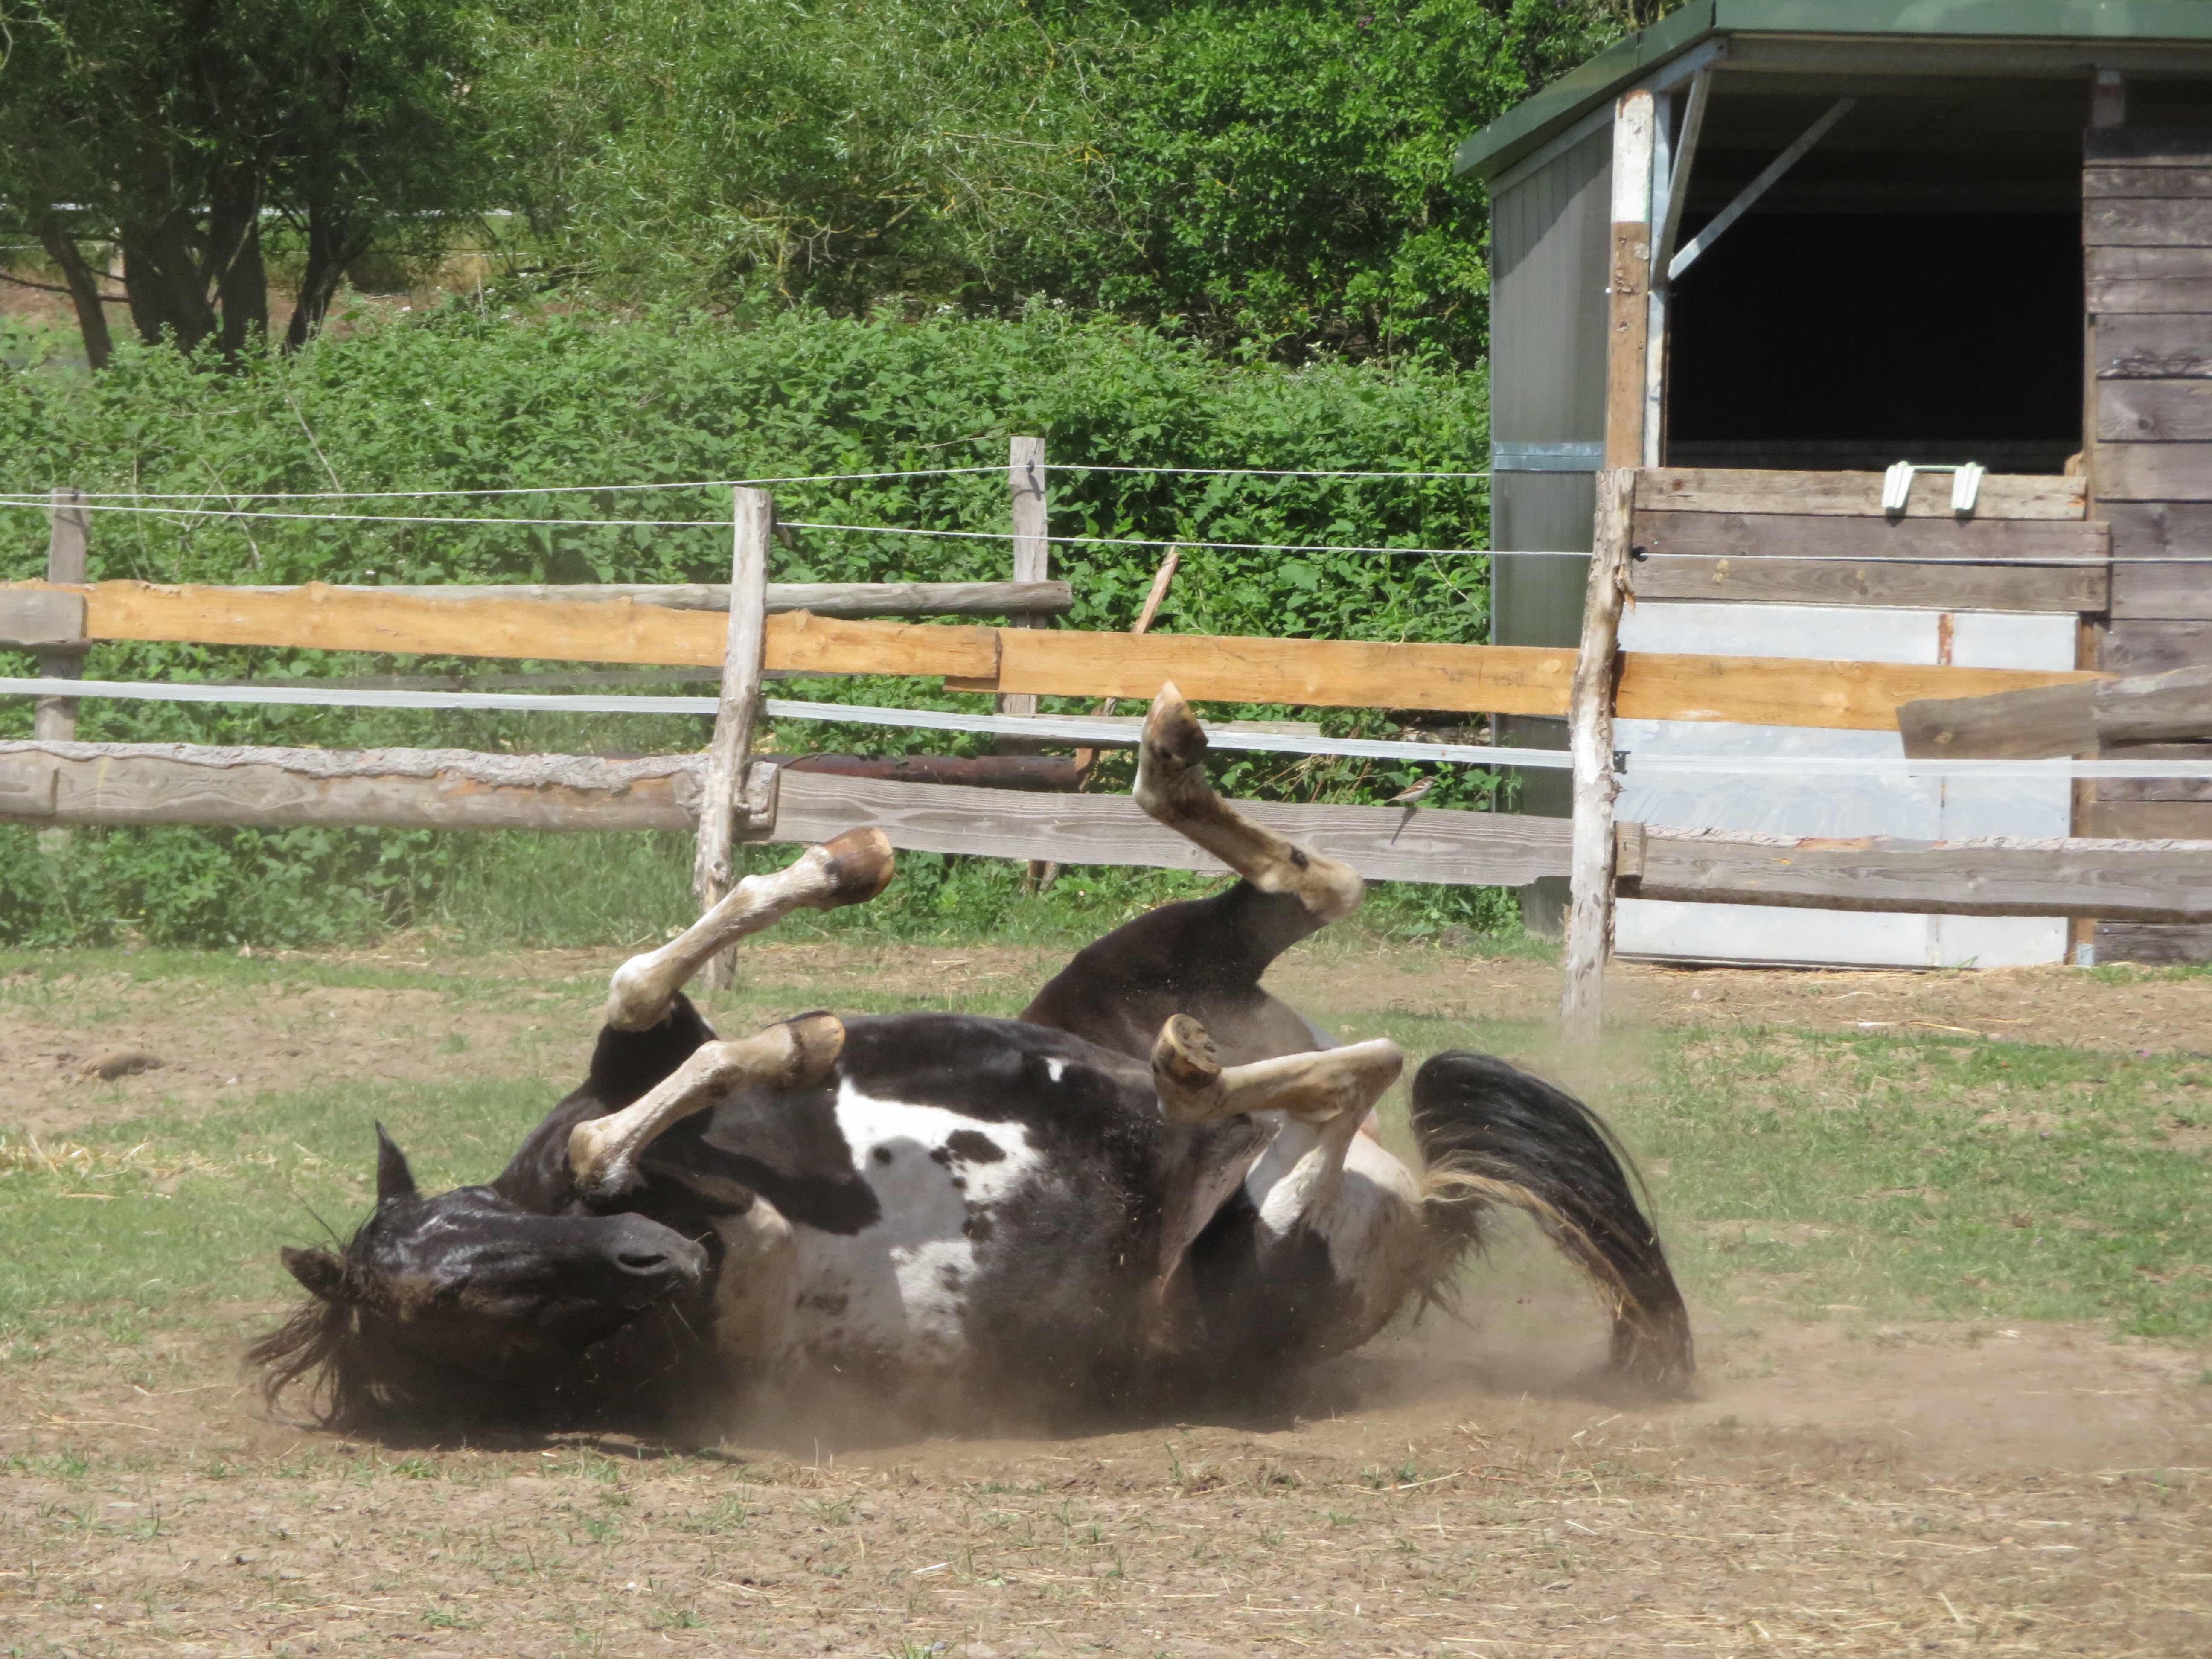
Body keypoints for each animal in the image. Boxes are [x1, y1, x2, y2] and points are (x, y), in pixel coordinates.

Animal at [254, 681, 1690, 1433]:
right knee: (1339, 1077)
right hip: (1242, 1251)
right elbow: (642, 1115)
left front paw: (833, 893)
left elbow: (647, 992)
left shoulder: (641, 1056)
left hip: (1137, 975)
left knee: (1317, 901)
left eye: (470, 1233)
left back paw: (1168, 774)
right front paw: (798, 1033)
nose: (656, 1261)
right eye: (470, 1310)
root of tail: (1422, 1209)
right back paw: (1195, 1080)